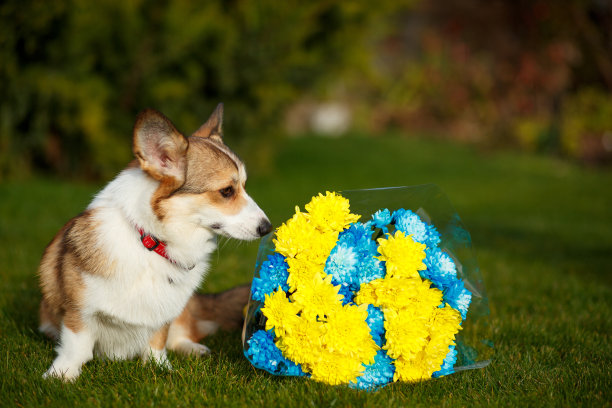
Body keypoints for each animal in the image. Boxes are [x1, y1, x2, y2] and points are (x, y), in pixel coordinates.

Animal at [36, 104, 270, 380]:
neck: (150, 241)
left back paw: (192, 349)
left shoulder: (165, 312)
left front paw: (160, 367)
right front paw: (61, 375)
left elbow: (158, 340)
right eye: (226, 191)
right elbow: (77, 346)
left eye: (244, 186)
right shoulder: (79, 310)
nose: (267, 227)